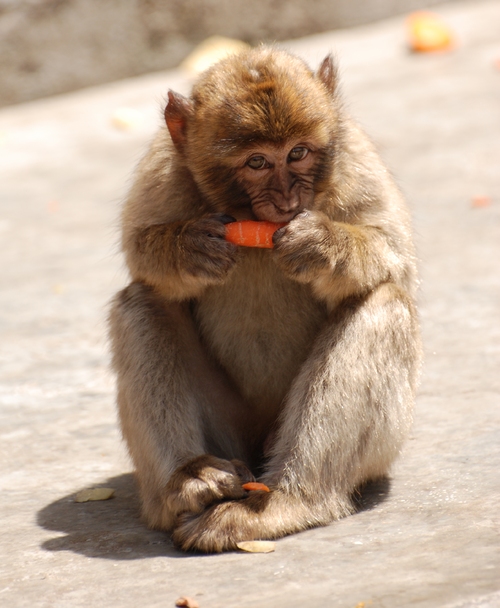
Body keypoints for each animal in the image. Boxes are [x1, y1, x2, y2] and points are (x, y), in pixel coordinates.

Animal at [108, 46, 422, 552]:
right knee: (143, 303)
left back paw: (284, 502)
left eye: (297, 153)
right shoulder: (165, 169)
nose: (287, 198)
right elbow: (141, 257)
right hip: (230, 435)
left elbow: (395, 260)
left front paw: (321, 247)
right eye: (257, 162)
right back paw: (188, 482)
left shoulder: (355, 160)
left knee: (384, 301)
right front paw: (190, 248)